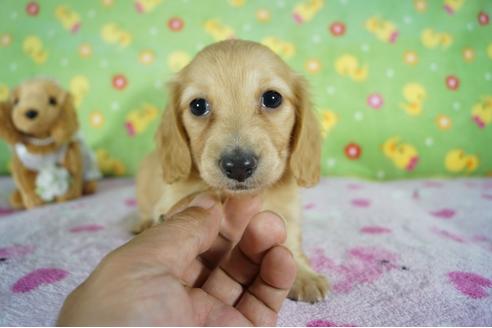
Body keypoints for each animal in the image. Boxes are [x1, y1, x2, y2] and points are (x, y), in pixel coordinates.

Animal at [135, 39, 326, 304]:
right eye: (198, 106)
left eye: (272, 98)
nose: (237, 166)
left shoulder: (286, 212)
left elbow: (288, 239)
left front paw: (304, 274)